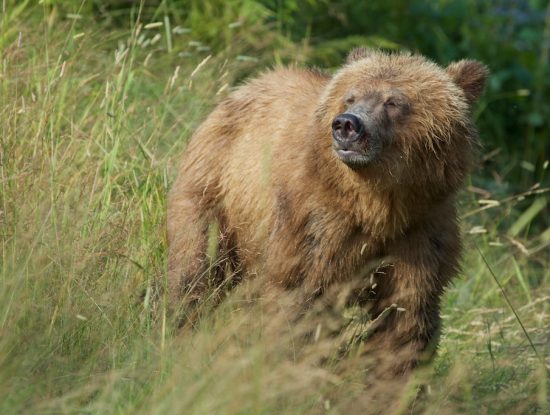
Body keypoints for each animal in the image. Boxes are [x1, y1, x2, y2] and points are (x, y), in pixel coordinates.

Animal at [167, 48, 488, 376]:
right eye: (350, 96)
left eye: (393, 101)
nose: (347, 124)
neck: (377, 206)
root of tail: (244, 87)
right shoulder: (317, 222)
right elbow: (301, 295)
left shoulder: (420, 232)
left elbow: (405, 315)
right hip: (215, 188)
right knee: (195, 265)